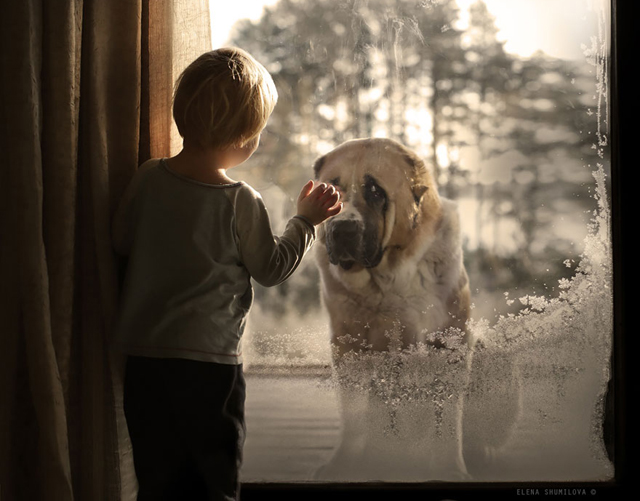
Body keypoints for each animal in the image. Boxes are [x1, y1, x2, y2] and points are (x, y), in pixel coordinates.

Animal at [314, 138, 470, 480]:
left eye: (375, 191)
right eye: (331, 190)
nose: (342, 229)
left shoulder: (449, 340)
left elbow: (447, 414)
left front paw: (449, 468)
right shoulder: (348, 342)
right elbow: (356, 411)